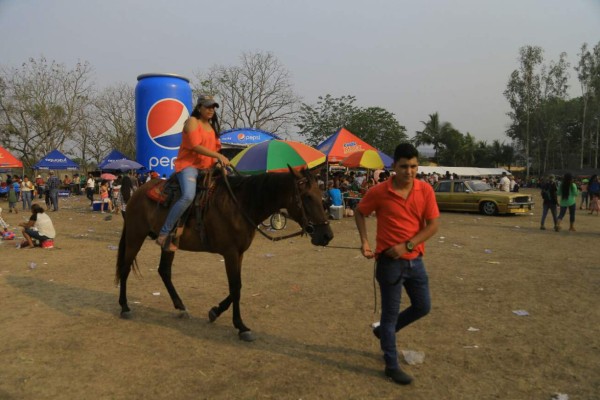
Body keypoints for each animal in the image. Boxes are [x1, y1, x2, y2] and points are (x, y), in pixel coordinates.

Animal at [115, 166, 336, 340]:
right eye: (307, 197)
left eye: (321, 196)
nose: (326, 235)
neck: (242, 205)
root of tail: (136, 193)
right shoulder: (229, 253)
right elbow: (235, 287)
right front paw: (241, 326)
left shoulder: (239, 253)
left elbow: (238, 286)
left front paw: (215, 312)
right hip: (135, 236)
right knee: (125, 268)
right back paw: (125, 307)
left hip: (169, 244)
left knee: (164, 271)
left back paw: (180, 306)